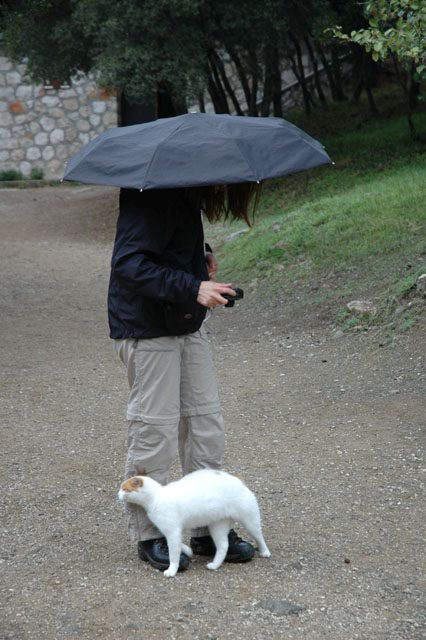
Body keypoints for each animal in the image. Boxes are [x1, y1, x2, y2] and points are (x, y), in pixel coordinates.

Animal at [116, 468, 272, 576]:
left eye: (124, 489)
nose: (117, 494)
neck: (156, 497)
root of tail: (238, 480)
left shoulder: (173, 532)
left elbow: (173, 555)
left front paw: (172, 570)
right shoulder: (170, 533)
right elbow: (178, 547)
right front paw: (187, 552)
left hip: (249, 520)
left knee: (259, 536)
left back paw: (265, 552)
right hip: (217, 526)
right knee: (223, 546)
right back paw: (214, 565)